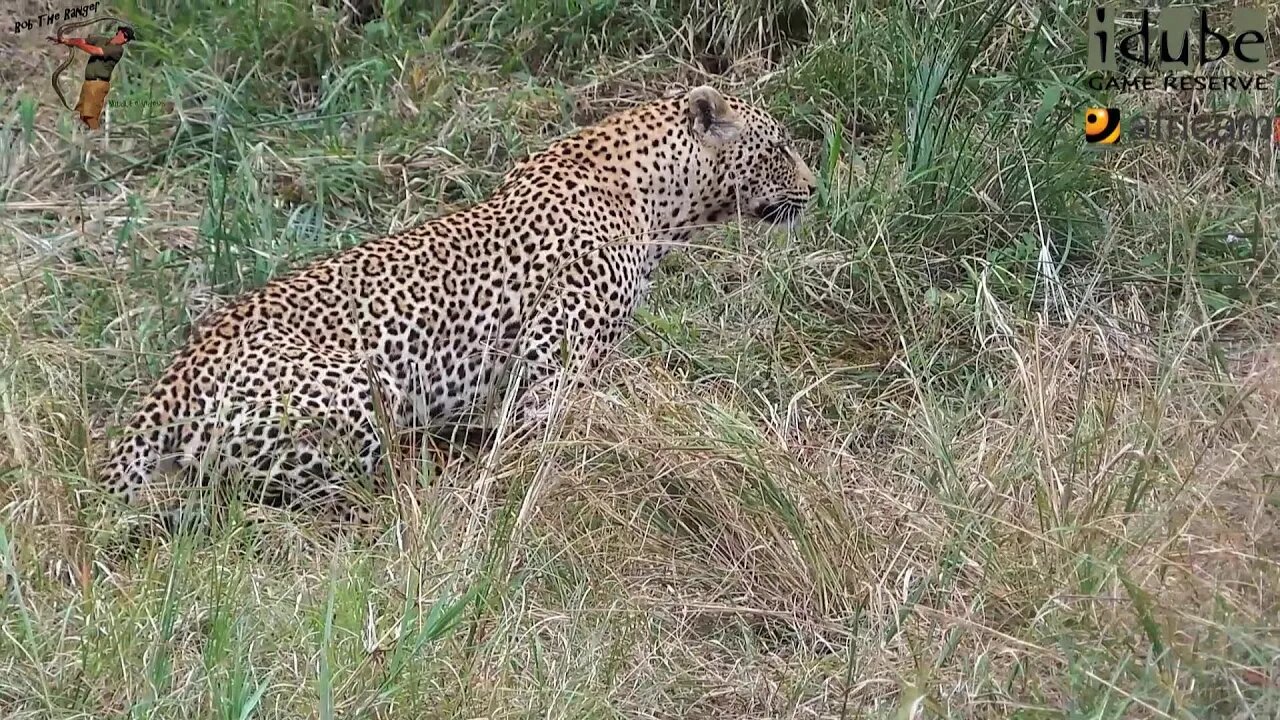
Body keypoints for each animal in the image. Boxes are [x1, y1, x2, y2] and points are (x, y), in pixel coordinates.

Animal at [99, 83, 819, 520]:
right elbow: (547, 445)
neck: (658, 201)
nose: (816, 188)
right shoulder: (552, 361)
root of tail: (172, 379)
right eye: (781, 147)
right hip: (364, 394)